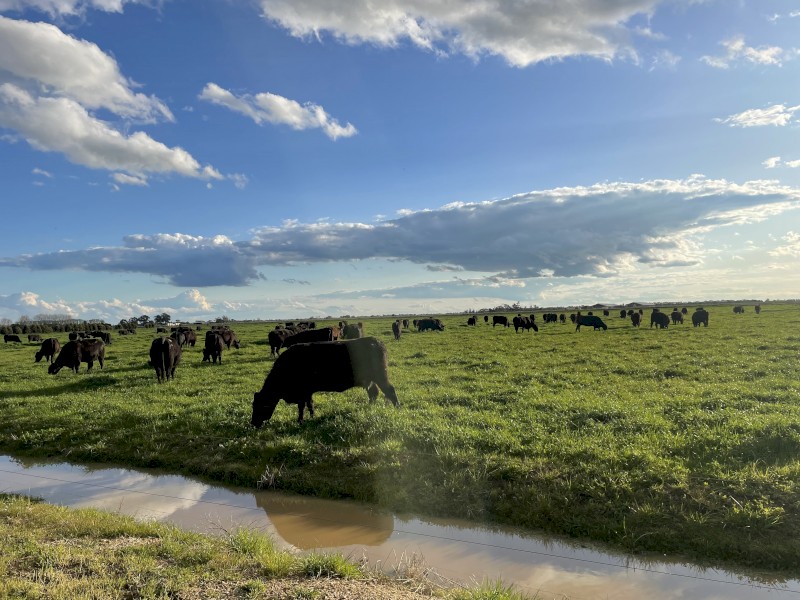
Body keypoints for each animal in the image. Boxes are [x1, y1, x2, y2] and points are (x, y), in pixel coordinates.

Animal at [251, 337, 399, 426]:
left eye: (260, 405)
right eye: (253, 405)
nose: (253, 423)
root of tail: (375, 341)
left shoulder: (302, 392)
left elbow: (302, 407)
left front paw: (300, 421)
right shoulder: (307, 392)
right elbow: (310, 404)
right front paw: (311, 417)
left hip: (380, 376)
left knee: (390, 391)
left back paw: (398, 408)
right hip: (370, 379)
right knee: (374, 393)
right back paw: (369, 408)